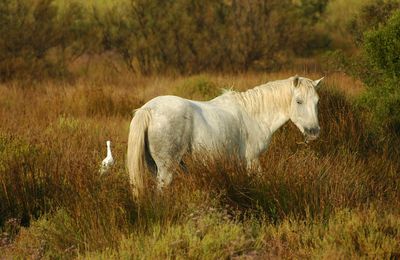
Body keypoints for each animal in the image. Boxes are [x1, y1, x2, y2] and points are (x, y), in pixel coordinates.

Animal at [126, 76, 324, 196]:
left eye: (317, 102)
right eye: (298, 101)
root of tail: (148, 110)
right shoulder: (252, 159)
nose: (314, 132)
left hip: (154, 166)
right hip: (167, 168)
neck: (253, 114)